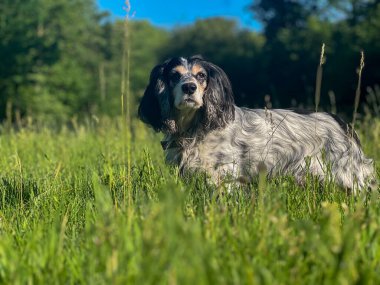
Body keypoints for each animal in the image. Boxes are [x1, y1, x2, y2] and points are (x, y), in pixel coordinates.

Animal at [138, 55, 376, 193]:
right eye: (174, 76)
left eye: (201, 75)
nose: (189, 87)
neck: (194, 129)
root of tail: (341, 122)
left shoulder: (224, 174)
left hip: (348, 176)